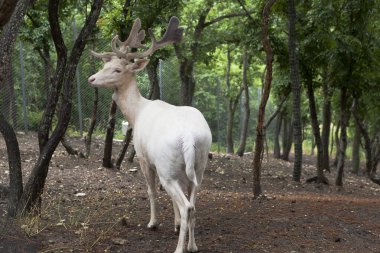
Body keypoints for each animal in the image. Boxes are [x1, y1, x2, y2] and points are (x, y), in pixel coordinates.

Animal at [88, 16, 212, 252]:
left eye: (117, 70)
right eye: (105, 65)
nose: (91, 79)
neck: (136, 113)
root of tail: (189, 137)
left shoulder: (143, 157)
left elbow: (151, 191)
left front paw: (153, 223)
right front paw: (175, 225)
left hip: (166, 167)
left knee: (186, 205)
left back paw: (179, 248)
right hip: (198, 166)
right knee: (193, 204)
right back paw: (193, 246)